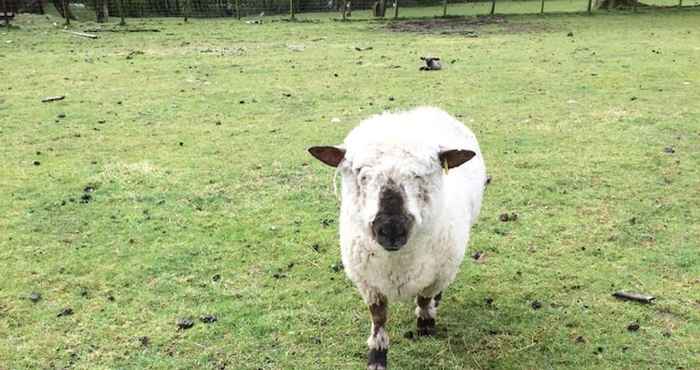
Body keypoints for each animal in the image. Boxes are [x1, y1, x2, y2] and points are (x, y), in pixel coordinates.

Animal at [308, 106, 490, 370]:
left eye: (421, 175)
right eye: (361, 174)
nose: (391, 229)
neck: (397, 260)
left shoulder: (439, 272)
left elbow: (424, 298)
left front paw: (425, 325)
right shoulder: (367, 281)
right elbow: (379, 317)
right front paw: (377, 355)